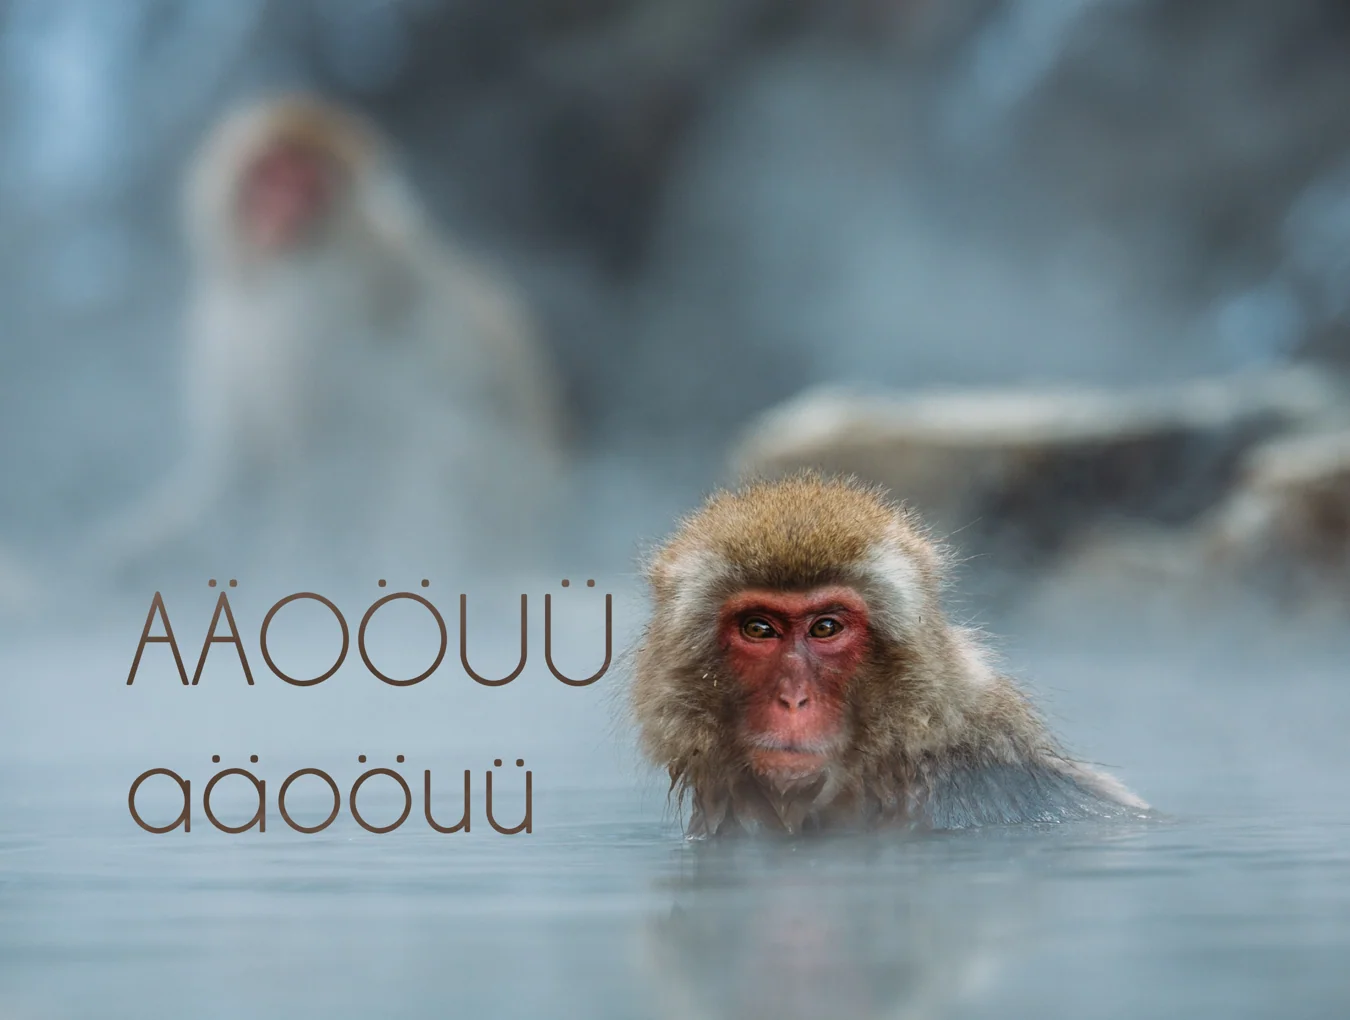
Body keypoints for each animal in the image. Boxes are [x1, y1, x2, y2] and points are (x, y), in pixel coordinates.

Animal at [89, 94, 567, 582]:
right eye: (270, 174)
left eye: (309, 187)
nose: (279, 213)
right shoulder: (218, 320)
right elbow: (240, 476)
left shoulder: (316, 312)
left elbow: (326, 461)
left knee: (434, 443)